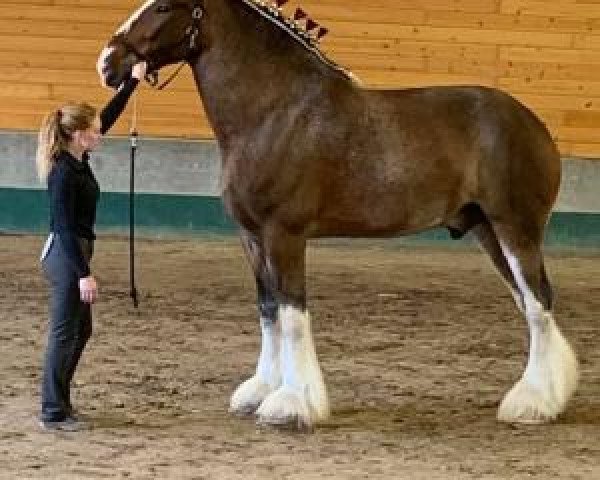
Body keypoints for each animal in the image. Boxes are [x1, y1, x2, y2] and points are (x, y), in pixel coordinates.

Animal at [97, 0, 576, 428]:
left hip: (514, 228)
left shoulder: (284, 234)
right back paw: (551, 395)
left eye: (163, 7)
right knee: (532, 303)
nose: (108, 62)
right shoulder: (251, 236)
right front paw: (260, 391)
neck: (273, 110)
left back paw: (533, 405)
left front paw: (292, 404)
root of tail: (534, 124)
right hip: (487, 231)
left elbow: (292, 313)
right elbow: (268, 309)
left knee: (537, 303)